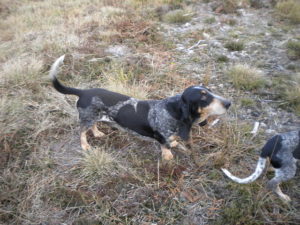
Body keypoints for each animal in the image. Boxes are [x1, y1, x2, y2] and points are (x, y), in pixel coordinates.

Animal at [50, 54, 231, 160]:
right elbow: (165, 147)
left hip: (94, 116)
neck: (172, 111)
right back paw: (85, 145)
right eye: (203, 97)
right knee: (81, 132)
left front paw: (173, 143)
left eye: (209, 91)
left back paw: (97, 133)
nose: (229, 103)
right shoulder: (161, 136)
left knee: (93, 126)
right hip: (86, 118)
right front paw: (168, 157)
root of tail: (83, 92)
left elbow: (171, 141)